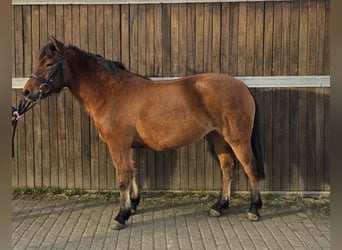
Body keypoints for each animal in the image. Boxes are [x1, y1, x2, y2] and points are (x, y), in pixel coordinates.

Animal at [22, 36, 266, 229]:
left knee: (249, 168)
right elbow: (132, 172)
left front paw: (121, 216)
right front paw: (133, 204)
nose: (27, 91)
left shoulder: (117, 144)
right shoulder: (127, 145)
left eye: (50, 63)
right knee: (228, 168)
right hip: (218, 137)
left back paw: (254, 209)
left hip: (237, 139)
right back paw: (219, 206)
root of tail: (242, 87)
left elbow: (122, 177)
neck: (111, 93)